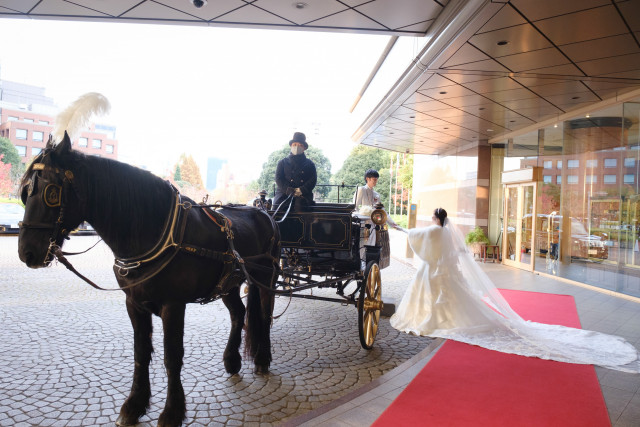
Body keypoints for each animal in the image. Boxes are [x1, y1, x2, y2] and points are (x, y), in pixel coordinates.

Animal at [18, 135, 280, 427]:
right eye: (24, 193)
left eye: (51, 192)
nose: (27, 252)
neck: (155, 231)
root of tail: (264, 213)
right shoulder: (134, 303)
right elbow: (141, 352)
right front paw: (134, 404)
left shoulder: (173, 306)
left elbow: (172, 356)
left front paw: (172, 411)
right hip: (229, 284)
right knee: (238, 313)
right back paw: (232, 360)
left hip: (266, 277)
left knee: (264, 314)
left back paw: (262, 357)